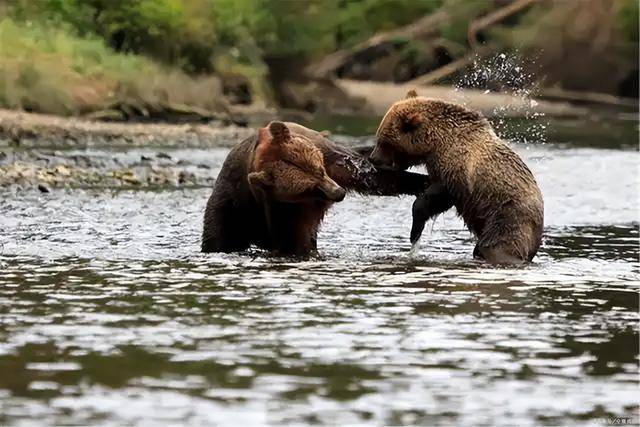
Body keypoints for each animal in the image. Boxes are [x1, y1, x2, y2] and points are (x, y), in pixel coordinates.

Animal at [202, 120, 428, 258]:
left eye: (319, 170)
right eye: (307, 188)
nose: (339, 193)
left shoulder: (333, 160)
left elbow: (370, 175)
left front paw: (423, 181)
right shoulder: (279, 205)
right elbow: (294, 238)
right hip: (232, 212)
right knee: (217, 237)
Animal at [370, 90, 544, 264]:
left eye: (384, 142)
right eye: (379, 138)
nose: (373, 158)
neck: (435, 145)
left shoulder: (458, 170)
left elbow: (438, 196)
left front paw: (415, 230)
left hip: (507, 217)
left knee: (496, 246)